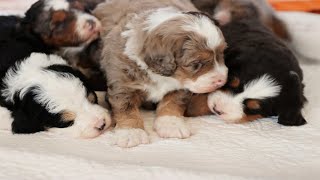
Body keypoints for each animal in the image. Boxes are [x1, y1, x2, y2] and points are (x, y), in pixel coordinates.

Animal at [94, 0, 229, 148]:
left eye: (222, 54)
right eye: (196, 64)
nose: (222, 81)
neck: (162, 76)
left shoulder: (181, 86)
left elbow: (173, 101)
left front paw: (171, 124)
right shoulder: (122, 83)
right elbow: (126, 107)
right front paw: (131, 132)